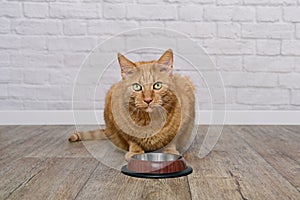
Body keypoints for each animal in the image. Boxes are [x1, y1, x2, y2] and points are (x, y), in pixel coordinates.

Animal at [68, 49, 196, 160]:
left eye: (157, 85)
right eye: (137, 87)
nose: (148, 100)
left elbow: (173, 140)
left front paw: (170, 151)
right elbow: (131, 140)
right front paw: (135, 151)